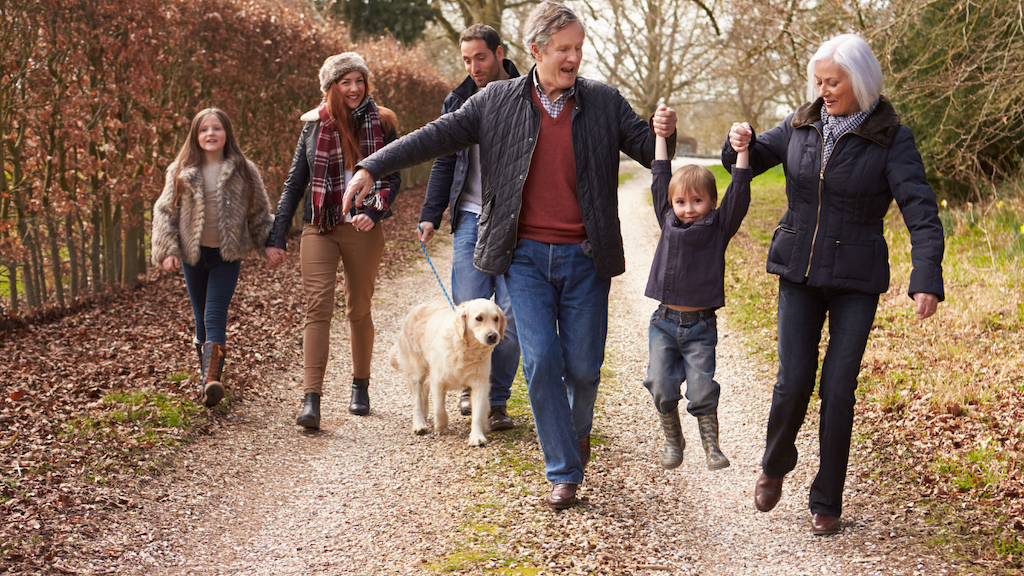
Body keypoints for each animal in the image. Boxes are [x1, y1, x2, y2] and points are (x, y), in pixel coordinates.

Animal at [389, 297, 505, 446]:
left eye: (496, 319)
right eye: (479, 318)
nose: (493, 336)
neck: (466, 350)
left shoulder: (480, 383)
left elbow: (478, 413)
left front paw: (477, 437)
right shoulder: (438, 380)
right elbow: (439, 408)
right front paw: (441, 425)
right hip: (416, 371)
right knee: (416, 400)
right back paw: (419, 424)